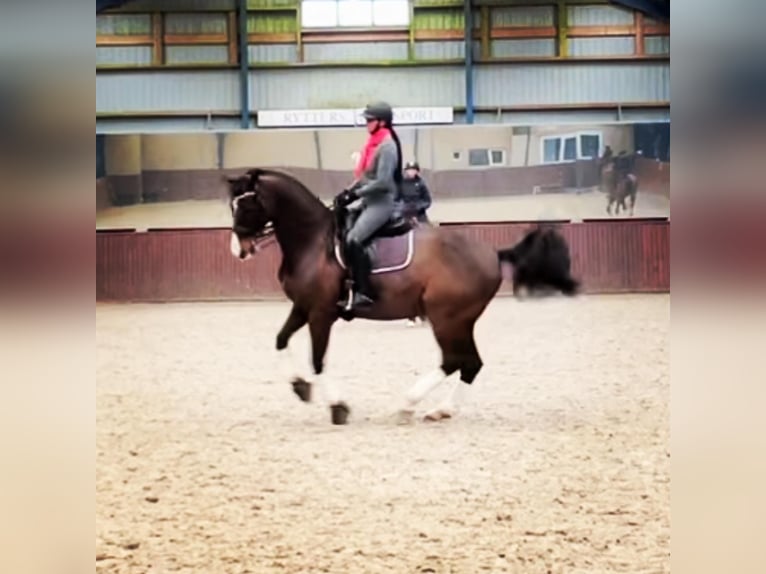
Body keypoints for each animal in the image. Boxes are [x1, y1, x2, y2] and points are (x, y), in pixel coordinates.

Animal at [225, 169, 584, 426]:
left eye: (247, 204)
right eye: (232, 205)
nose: (238, 249)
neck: (313, 241)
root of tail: (493, 254)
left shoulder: (320, 313)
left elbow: (317, 359)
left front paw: (338, 407)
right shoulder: (303, 307)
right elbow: (280, 340)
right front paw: (300, 386)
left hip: (446, 317)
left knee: (456, 361)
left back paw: (407, 404)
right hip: (459, 320)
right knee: (470, 363)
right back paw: (440, 410)